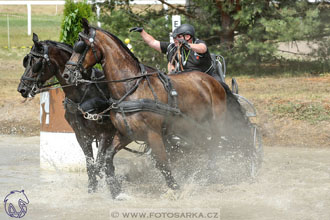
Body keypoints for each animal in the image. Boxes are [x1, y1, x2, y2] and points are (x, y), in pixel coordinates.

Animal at [17, 33, 125, 194]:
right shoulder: (82, 136)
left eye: (36, 63)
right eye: (26, 62)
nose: (22, 88)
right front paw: (92, 190)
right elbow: (91, 166)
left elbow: (99, 163)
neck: (84, 91)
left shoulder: (106, 133)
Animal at [62, 18, 229, 197]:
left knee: (215, 145)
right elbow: (107, 158)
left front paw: (175, 189)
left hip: (214, 124)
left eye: (81, 46)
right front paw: (116, 191)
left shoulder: (153, 134)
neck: (131, 88)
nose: (67, 74)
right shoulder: (125, 133)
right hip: (191, 128)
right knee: (203, 145)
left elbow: (162, 163)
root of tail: (213, 81)